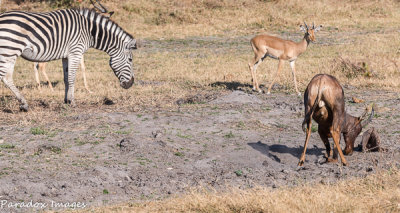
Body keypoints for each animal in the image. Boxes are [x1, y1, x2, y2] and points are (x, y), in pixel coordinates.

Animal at [0, 7, 136, 110]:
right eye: (130, 60)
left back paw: (23, 103)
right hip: (9, 52)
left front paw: (66, 101)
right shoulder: (75, 52)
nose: (131, 84)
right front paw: (73, 102)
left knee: (7, 78)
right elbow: (72, 78)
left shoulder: (66, 56)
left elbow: (66, 78)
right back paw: (23, 103)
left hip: (9, 53)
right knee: (6, 77)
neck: (89, 31)